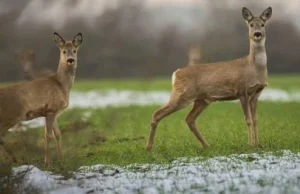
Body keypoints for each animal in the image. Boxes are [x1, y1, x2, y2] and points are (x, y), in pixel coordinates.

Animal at [0, 32, 82, 163]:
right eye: (64, 51)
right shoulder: (50, 109)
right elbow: (48, 136)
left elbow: (58, 134)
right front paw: (47, 161)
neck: (61, 85)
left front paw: (62, 159)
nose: (70, 60)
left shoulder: (53, 111)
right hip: (11, 115)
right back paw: (13, 160)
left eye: (74, 50)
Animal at [146, 6, 274, 151]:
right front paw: (250, 144)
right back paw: (149, 147)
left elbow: (256, 119)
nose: (257, 33)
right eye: (251, 24)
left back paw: (206, 145)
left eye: (263, 24)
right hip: (182, 95)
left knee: (189, 119)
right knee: (157, 113)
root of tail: (175, 73)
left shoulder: (256, 93)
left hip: (202, 100)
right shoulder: (242, 91)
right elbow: (248, 120)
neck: (254, 68)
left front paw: (258, 144)